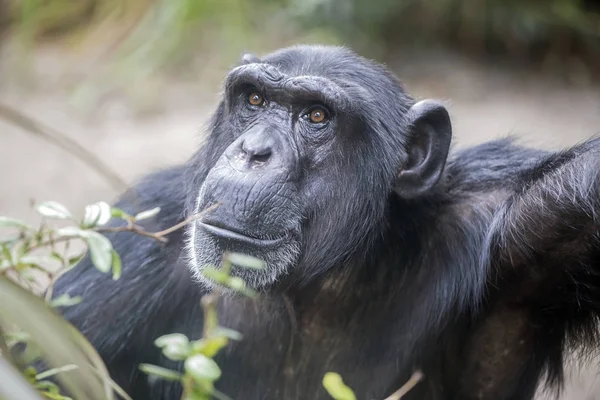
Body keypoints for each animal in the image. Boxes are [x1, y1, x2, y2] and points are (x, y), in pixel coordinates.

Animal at [50, 44, 600, 400]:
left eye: (316, 116)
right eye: (254, 100)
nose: (254, 151)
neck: (314, 286)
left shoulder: (527, 232)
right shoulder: (138, 246)